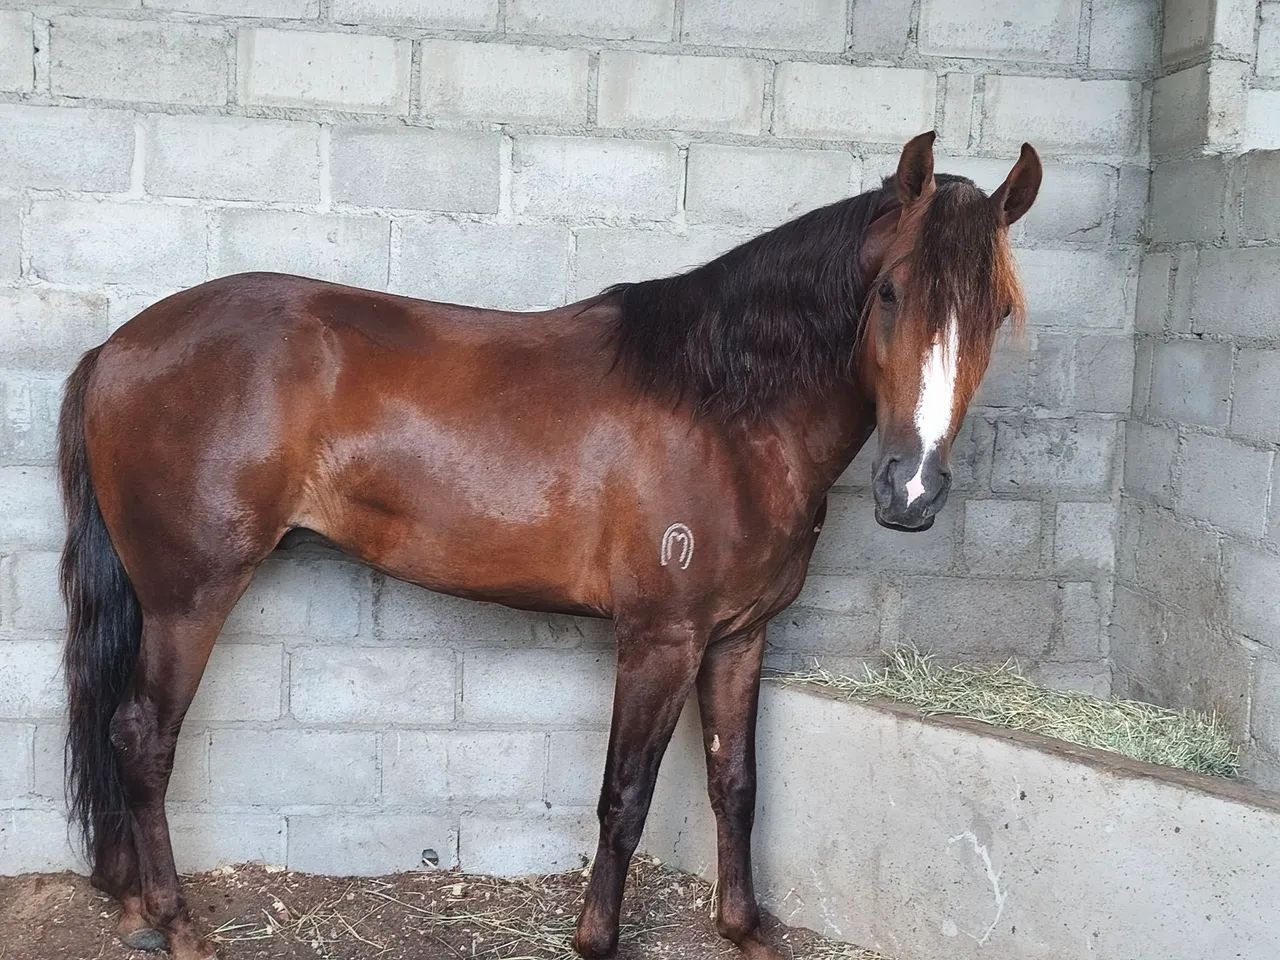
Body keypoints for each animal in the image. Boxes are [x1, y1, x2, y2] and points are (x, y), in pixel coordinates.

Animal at [57, 130, 1040, 960]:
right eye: (891, 292)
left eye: (996, 311)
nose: (912, 490)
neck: (726, 409)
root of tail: (119, 348)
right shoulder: (660, 638)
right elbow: (625, 796)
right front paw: (596, 939)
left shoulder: (739, 637)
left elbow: (736, 784)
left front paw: (745, 930)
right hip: (189, 596)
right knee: (143, 735)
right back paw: (179, 926)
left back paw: (140, 909)